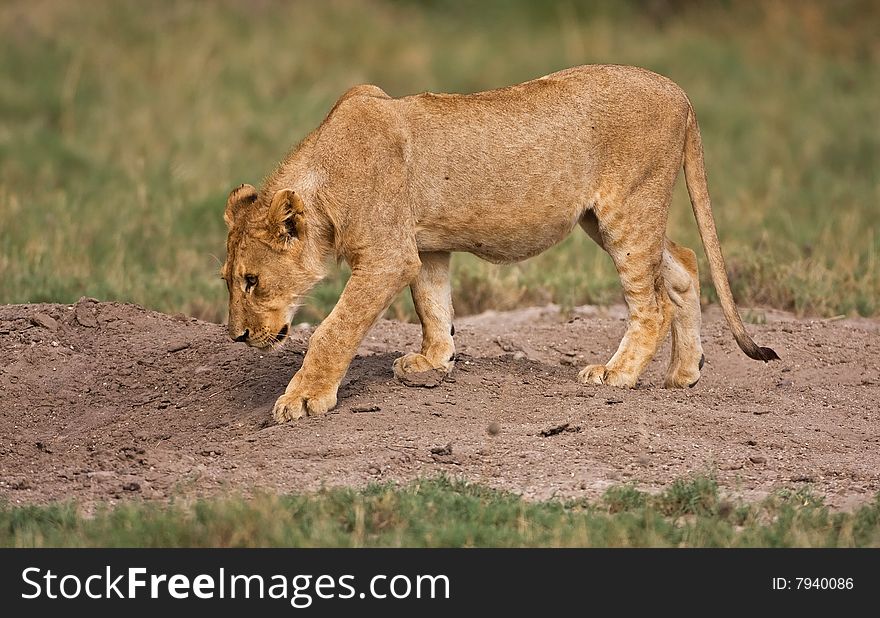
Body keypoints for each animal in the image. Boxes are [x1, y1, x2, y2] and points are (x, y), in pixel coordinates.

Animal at [220, 65, 776, 422]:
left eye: (252, 281)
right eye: (227, 281)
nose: (238, 337)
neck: (323, 183)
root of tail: (678, 90)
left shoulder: (387, 258)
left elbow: (333, 331)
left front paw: (303, 398)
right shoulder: (423, 247)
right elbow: (433, 305)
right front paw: (434, 361)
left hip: (628, 210)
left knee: (653, 303)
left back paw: (618, 374)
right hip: (608, 219)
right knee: (683, 263)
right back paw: (684, 373)